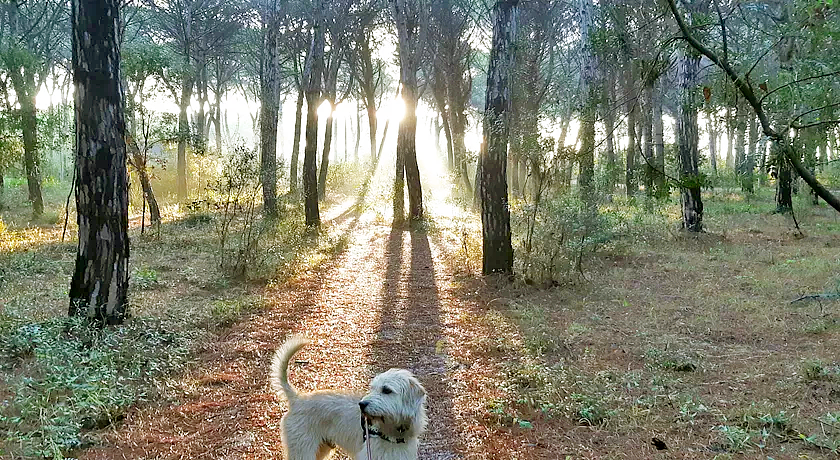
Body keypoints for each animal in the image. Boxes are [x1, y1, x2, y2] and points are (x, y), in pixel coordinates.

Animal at [270, 334, 426, 460]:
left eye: (386, 390)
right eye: (372, 388)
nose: (361, 405)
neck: (394, 432)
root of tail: (297, 399)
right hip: (303, 451)